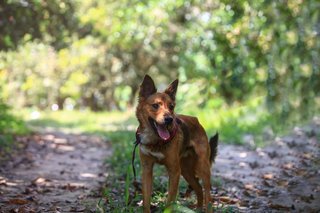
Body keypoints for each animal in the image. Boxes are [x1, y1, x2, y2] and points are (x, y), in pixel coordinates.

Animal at [135, 74, 218, 211]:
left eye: (171, 106)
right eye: (155, 105)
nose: (169, 119)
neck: (155, 140)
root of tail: (196, 121)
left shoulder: (174, 171)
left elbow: (169, 201)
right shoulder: (147, 169)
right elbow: (146, 200)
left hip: (202, 167)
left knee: (208, 195)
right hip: (185, 170)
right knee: (198, 188)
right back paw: (198, 209)